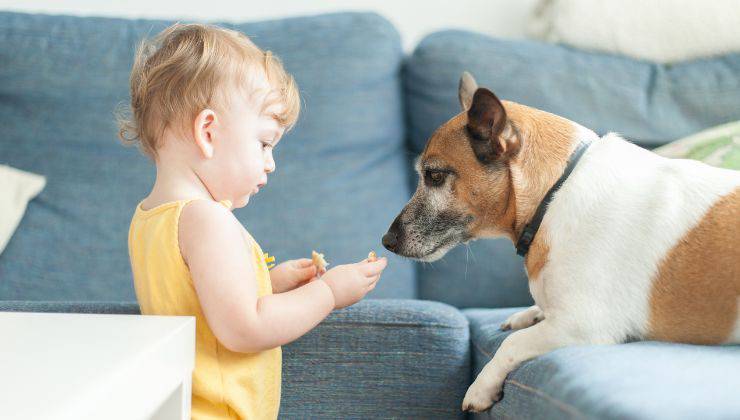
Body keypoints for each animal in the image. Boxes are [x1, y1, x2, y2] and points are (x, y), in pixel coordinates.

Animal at [382, 71, 740, 410]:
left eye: (435, 176)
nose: (386, 241)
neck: (555, 191)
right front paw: (528, 313)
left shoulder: (584, 324)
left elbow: (513, 344)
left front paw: (481, 386)